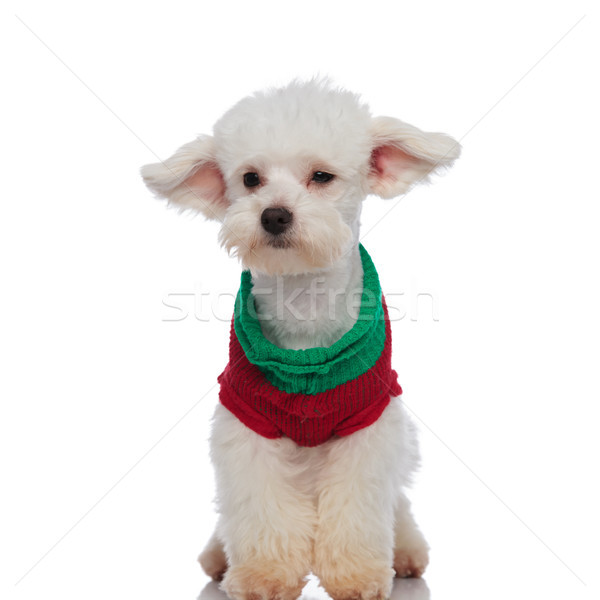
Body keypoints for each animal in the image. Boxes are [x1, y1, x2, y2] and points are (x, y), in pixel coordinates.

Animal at [141, 81, 460, 600]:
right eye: (251, 179)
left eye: (321, 176)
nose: (274, 215)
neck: (304, 308)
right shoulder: (246, 421)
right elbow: (260, 507)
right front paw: (263, 575)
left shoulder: (367, 424)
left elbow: (358, 508)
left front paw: (356, 574)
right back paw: (218, 556)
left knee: (398, 508)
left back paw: (406, 550)